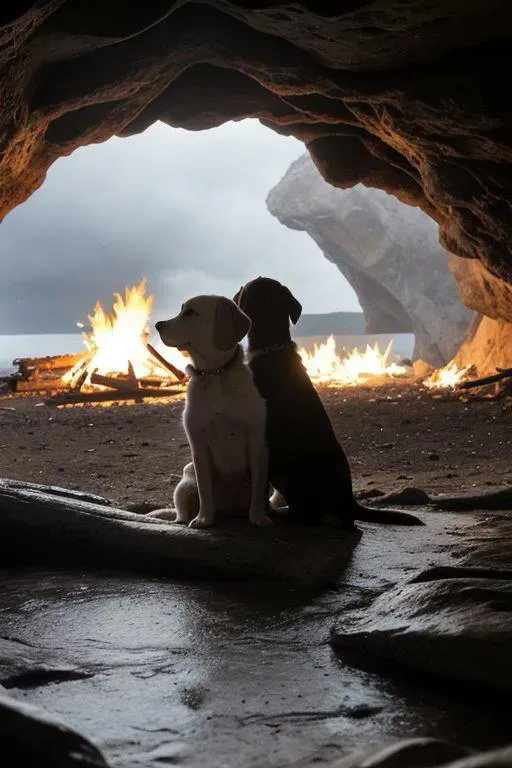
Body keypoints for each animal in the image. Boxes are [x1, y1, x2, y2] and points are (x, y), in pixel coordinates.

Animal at [152, 294, 272, 528]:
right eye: (181, 310)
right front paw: (203, 519)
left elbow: (257, 492)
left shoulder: (257, 443)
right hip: (184, 484)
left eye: (191, 313)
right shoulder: (198, 445)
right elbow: (205, 490)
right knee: (182, 512)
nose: (157, 325)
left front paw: (259, 517)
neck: (215, 373)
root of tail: (230, 510)